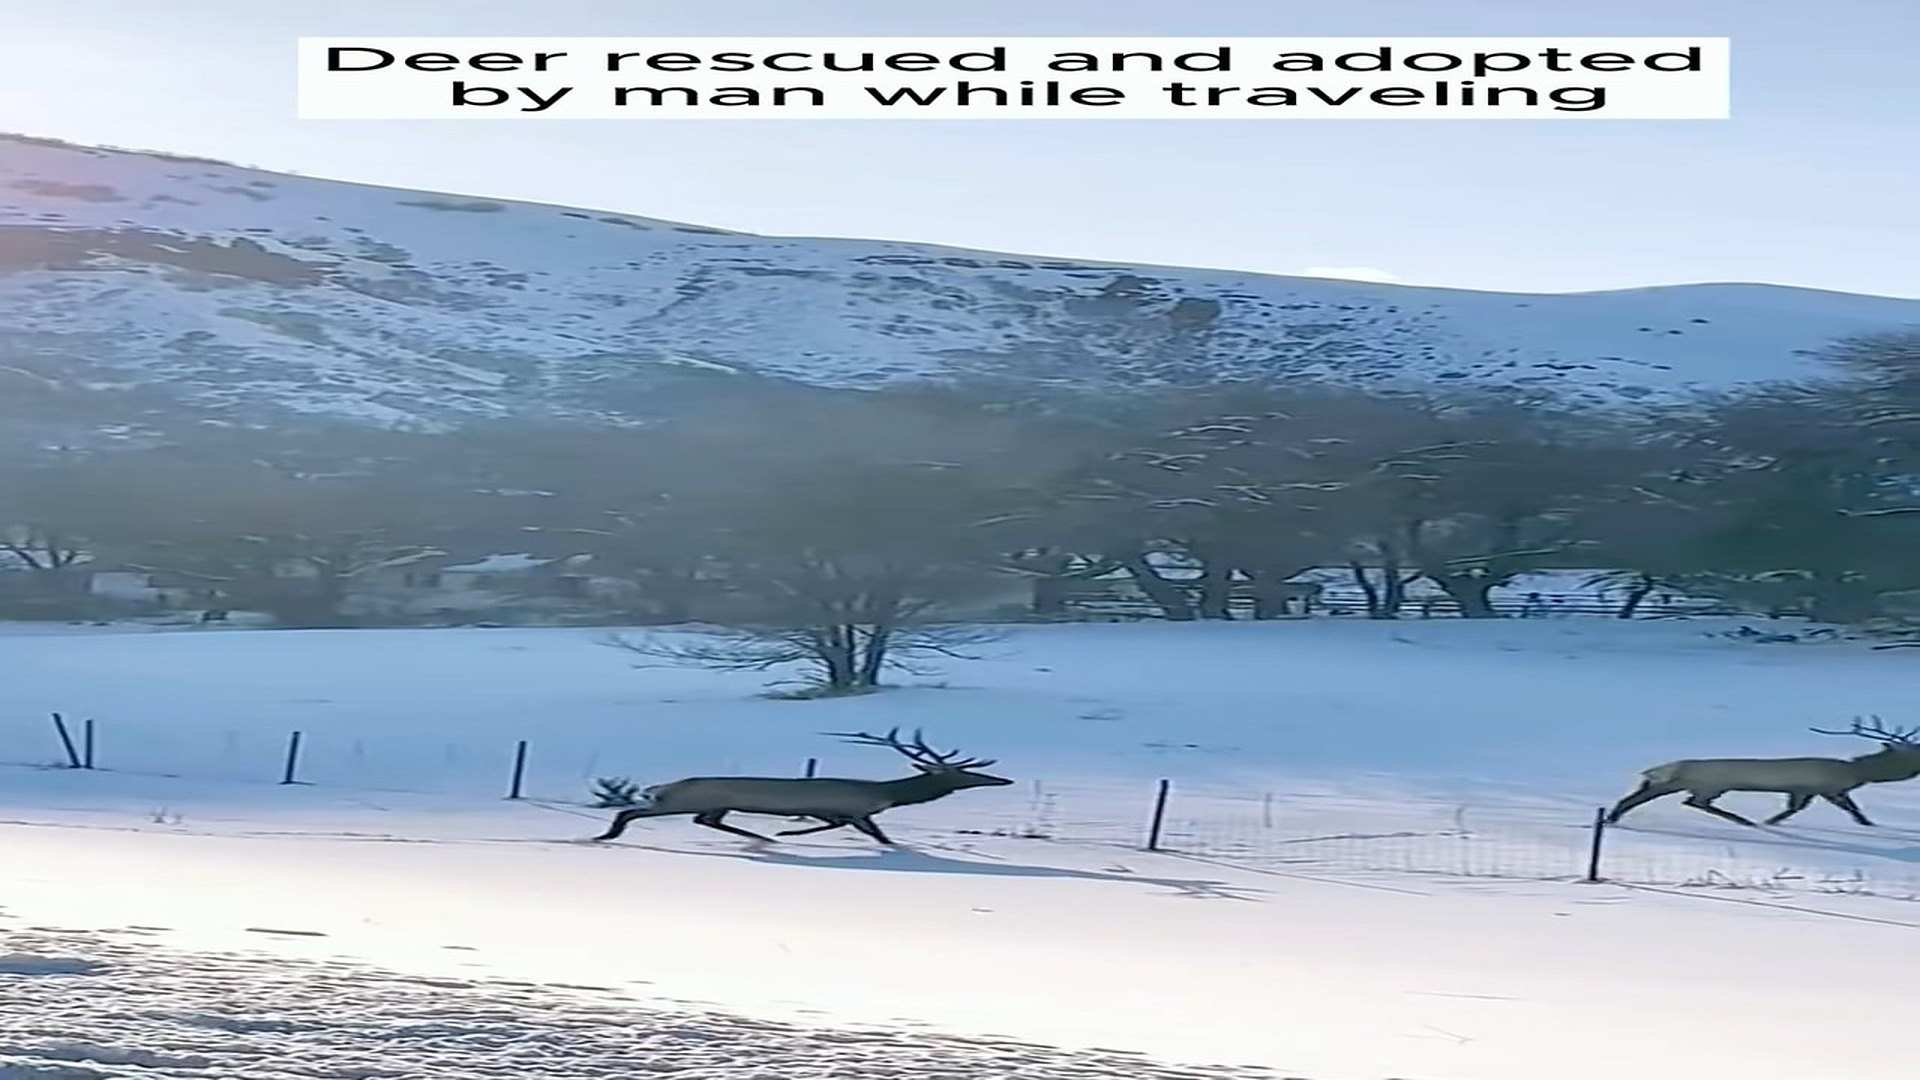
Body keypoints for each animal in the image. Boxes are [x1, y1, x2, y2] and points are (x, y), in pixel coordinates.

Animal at [589, 727, 1012, 845]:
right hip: (679, 801)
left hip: (711, 804)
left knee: (708, 821)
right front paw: (786, 831)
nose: (1005, 779)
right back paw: (605, 836)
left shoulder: (847, 812)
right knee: (632, 809)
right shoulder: (852, 811)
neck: (887, 794)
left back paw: (761, 838)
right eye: (965, 774)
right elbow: (873, 834)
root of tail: (662, 784)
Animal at [1604, 716, 1920, 828]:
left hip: (1681, 783)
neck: (1856, 773)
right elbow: (1848, 808)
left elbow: (1795, 808)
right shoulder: (1824, 788)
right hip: (1703, 783)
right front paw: (1868, 823)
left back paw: (1611, 817)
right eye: (1915, 752)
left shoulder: (1806, 789)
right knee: (1692, 802)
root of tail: (1664, 767)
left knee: (1650, 795)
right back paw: (1743, 820)